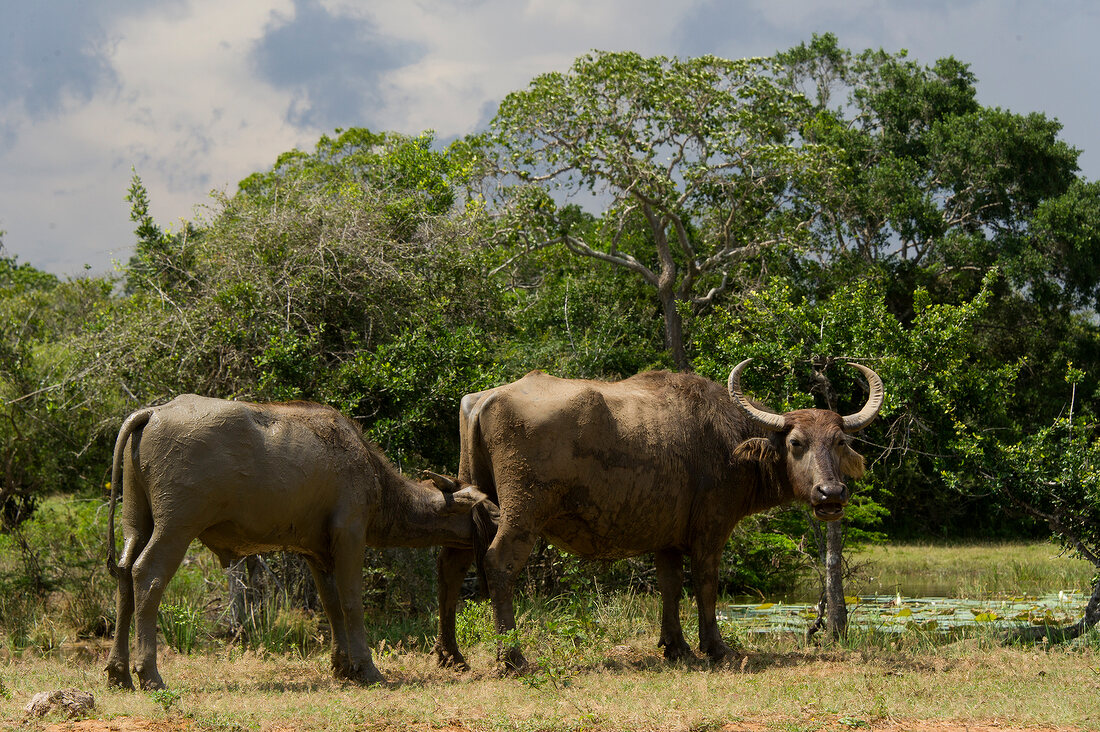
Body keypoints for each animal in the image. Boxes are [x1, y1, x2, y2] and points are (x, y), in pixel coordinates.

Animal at [106, 391, 495, 686]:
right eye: (485, 509)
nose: (501, 515)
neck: (370, 473)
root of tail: (154, 412)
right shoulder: (350, 536)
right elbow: (352, 601)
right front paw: (367, 669)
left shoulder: (317, 552)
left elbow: (331, 603)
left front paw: (342, 667)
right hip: (176, 527)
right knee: (147, 575)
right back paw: (149, 674)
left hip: (137, 524)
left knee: (124, 574)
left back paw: (118, 672)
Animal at [431, 358, 884, 669]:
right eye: (795, 443)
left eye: (839, 441)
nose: (831, 493)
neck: (729, 444)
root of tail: (485, 399)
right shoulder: (710, 531)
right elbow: (705, 585)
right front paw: (715, 647)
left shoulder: (666, 539)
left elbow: (669, 585)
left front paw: (676, 647)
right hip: (523, 513)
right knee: (498, 563)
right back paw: (513, 658)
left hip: (467, 495)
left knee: (451, 565)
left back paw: (451, 654)